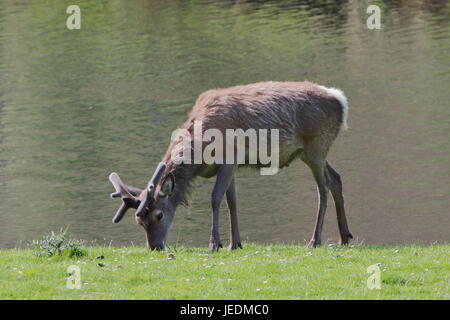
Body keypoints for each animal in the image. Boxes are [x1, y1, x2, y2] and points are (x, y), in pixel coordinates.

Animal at [108, 81, 352, 251]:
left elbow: (216, 198)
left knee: (323, 188)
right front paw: (235, 243)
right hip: (308, 153)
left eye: (158, 215)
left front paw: (214, 244)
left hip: (317, 146)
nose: (155, 247)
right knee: (336, 179)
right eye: (139, 221)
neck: (200, 153)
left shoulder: (228, 158)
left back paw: (315, 240)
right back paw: (345, 236)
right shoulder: (230, 166)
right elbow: (232, 201)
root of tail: (341, 100)